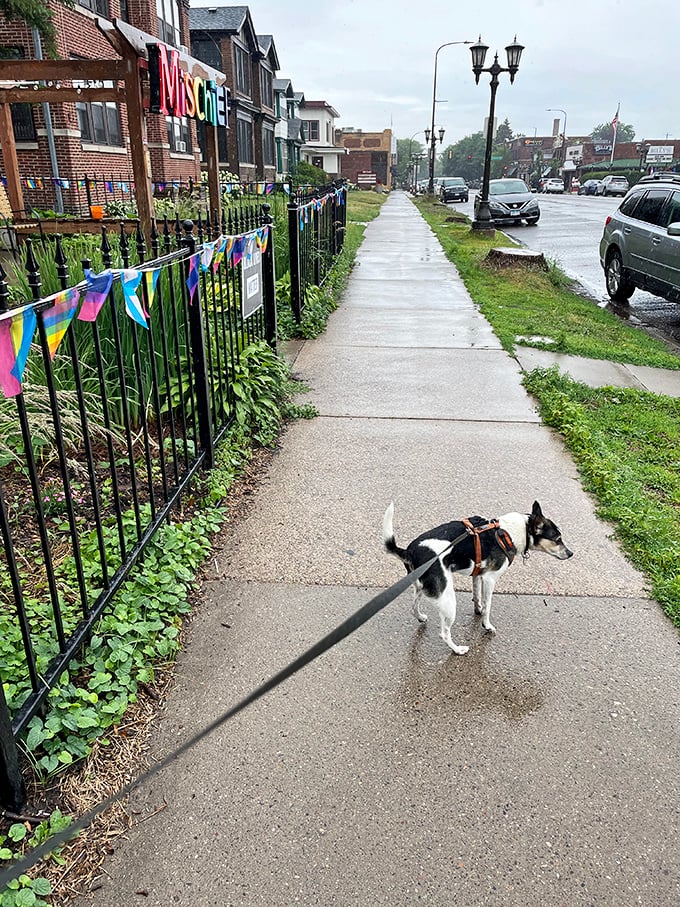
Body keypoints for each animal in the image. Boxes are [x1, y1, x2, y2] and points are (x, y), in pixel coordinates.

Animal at [382, 500, 572, 656]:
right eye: (558, 539)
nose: (571, 554)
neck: (510, 532)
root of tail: (409, 552)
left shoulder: (478, 575)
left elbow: (477, 596)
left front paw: (478, 609)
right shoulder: (490, 580)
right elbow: (488, 606)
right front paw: (486, 625)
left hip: (423, 588)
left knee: (413, 607)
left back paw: (421, 617)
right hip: (447, 599)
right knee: (444, 633)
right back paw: (458, 649)